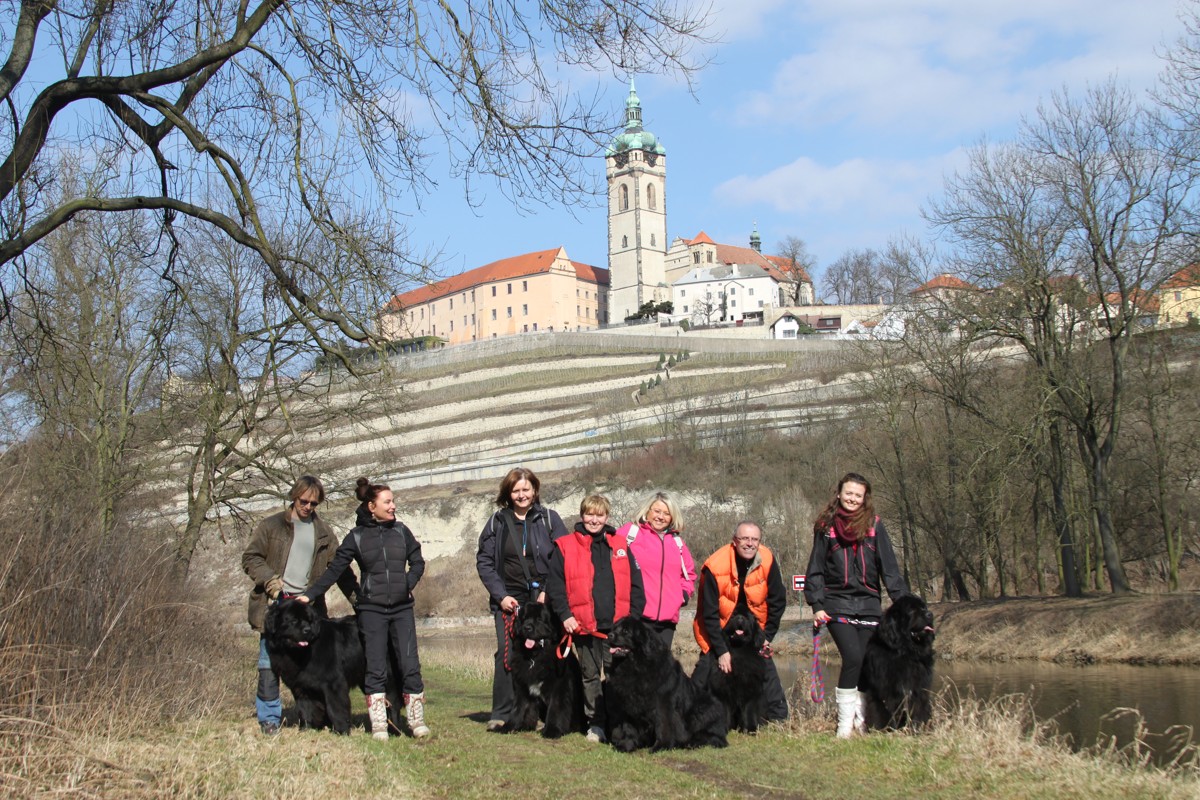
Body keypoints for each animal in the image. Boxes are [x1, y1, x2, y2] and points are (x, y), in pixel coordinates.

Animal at [263, 599, 402, 734]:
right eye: (293, 620)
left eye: (309, 621)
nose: (307, 630)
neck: (297, 654)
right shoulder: (300, 685)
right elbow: (304, 708)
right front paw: (306, 729)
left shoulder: (333, 683)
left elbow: (336, 708)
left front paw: (342, 731)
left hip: (385, 673)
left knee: (392, 701)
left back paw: (394, 730)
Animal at [506, 601, 586, 738]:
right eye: (524, 618)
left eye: (539, 619)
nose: (527, 628)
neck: (534, 657)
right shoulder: (522, 685)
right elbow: (519, 707)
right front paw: (511, 727)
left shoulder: (559, 687)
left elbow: (555, 709)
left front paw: (552, 731)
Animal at [605, 616, 727, 751]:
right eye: (614, 628)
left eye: (626, 631)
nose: (609, 635)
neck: (636, 666)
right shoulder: (629, 703)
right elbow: (628, 726)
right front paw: (626, 745)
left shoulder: (663, 702)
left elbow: (663, 725)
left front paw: (661, 746)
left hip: (705, 707)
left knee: (715, 737)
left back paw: (693, 741)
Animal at [858, 594, 936, 730]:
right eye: (911, 610)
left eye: (924, 607)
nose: (929, 614)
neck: (906, 653)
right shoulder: (887, 693)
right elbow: (887, 713)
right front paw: (889, 730)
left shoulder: (919, 690)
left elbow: (918, 712)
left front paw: (917, 729)